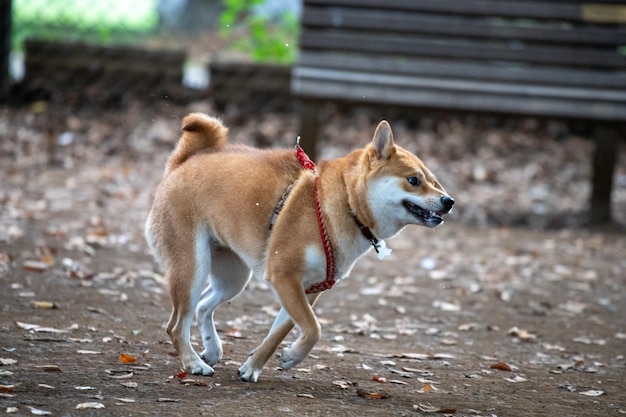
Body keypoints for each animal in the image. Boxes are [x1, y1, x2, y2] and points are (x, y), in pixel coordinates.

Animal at [144, 113, 450, 380]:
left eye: (435, 182)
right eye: (413, 180)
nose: (449, 201)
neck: (340, 206)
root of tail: (184, 162)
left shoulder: (308, 288)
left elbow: (280, 333)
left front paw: (254, 367)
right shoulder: (285, 277)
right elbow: (314, 329)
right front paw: (292, 356)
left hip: (233, 278)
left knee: (203, 306)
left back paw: (211, 349)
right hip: (192, 269)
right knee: (176, 325)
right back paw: (194, 363)